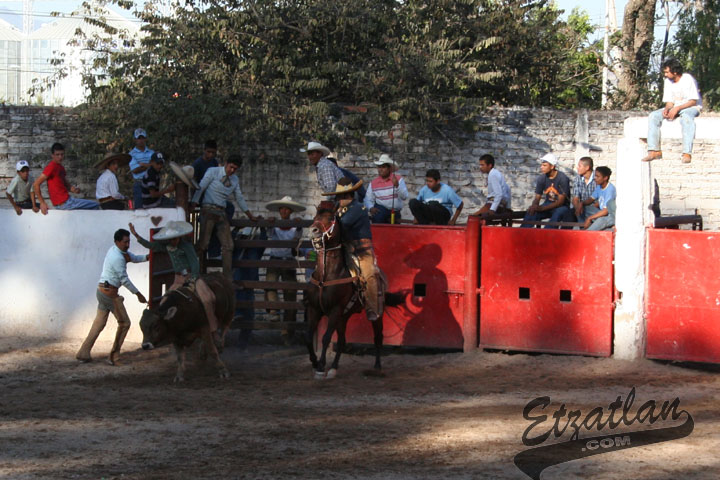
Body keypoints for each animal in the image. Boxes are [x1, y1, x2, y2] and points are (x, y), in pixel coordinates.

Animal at [304, 208, 384, 379]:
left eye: (329, 218)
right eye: (315, 217)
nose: (313, 230)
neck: (326, 275)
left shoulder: (335, 310)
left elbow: (326, 337)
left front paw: (321, 366)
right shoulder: (314, 309)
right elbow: (308, 335)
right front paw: (314, 362)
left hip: (377, 313)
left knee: (377, 337)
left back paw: (377, 367)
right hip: (343, 317)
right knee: (341, 340)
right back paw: (334, 368)